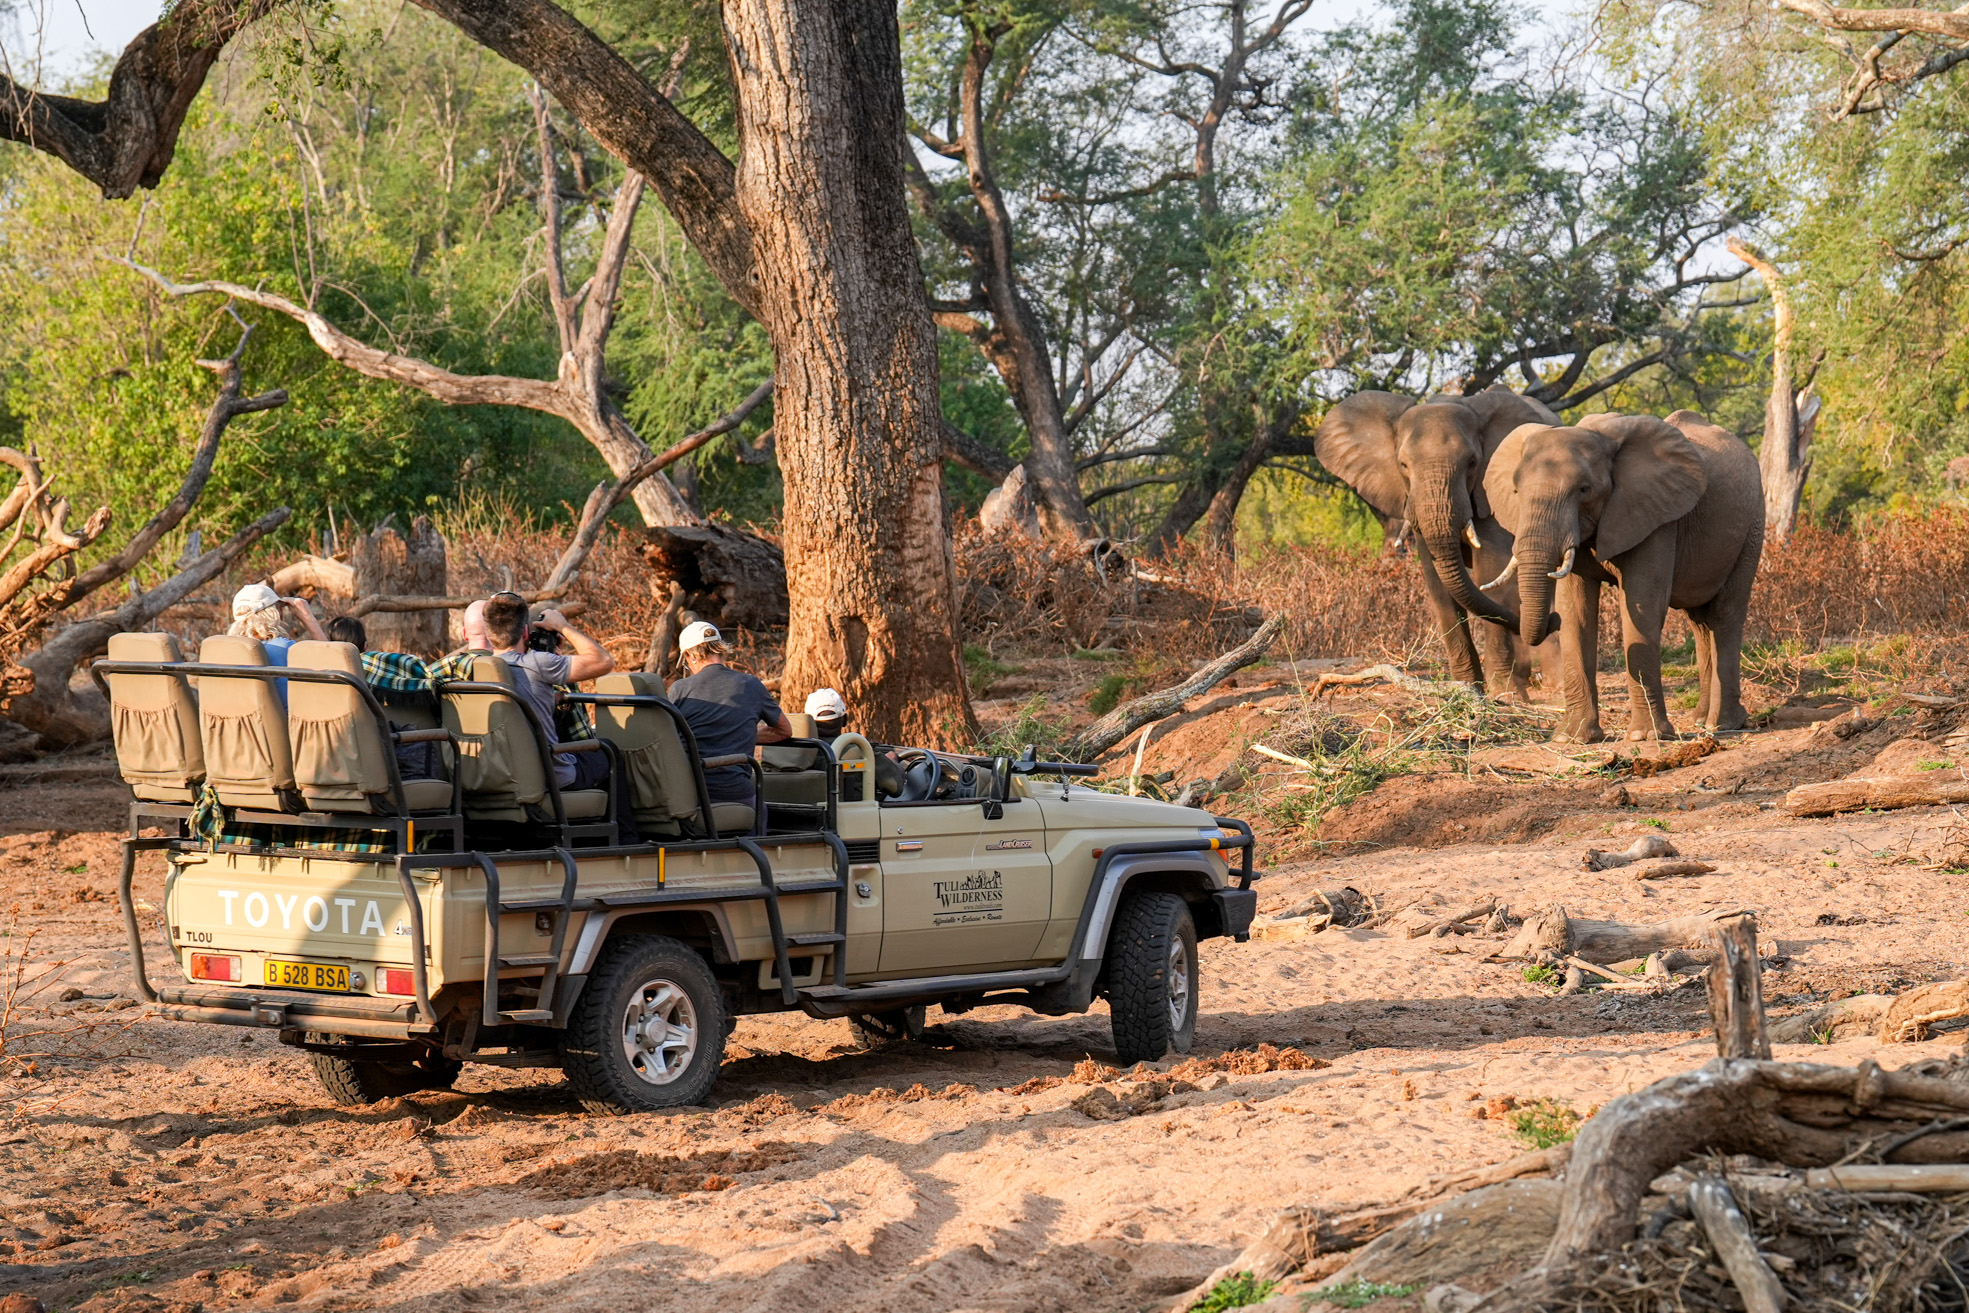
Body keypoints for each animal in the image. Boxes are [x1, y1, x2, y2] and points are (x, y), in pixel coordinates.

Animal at [1315, 381, 1559, 696]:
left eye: (1473, 463)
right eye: (1403, 465)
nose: (1554, 624)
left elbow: (1490, 567)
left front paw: (1506, 693)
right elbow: (1437, 580)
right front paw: (1466, 687)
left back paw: (1552, 679)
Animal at [1480, 411, 1772, 740]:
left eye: (1584, 489)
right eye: (1516, 491)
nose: (1551, 620)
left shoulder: (1655, 516)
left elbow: (1642, 605)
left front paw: (1645, 737)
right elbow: (1576, 612)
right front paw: (1572, 738)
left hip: (1751, 527)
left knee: (1724, 614)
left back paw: (1722, 724)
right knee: (1699, 621)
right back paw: (1700, 720)